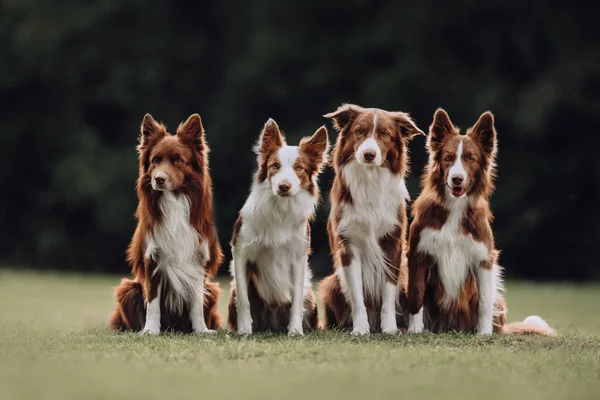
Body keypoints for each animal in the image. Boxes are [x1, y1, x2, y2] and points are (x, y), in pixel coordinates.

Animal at [108, 113, 223, 334]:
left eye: (178, 160)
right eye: (155, 160)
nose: (158, 179)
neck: (174, 200)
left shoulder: (198, 258)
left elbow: (196, 302)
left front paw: (201, 330)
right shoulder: (152, 258)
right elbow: (152, 302)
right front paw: (150, 331)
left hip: (212, 289)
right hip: (127, 288)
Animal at [226, 118, 328, 334]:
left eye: (299, 168)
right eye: (275, 166)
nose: (284, 186)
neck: (280, 209)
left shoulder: (299, 257)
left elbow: (296, 300)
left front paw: (295, 331)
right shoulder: (240, 251)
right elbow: (244, 300)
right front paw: (244, 330)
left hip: (309, 292)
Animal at [316, 103, 424, 334]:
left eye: (385, 134)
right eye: (359, 131)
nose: (368, 154)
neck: (369, 179)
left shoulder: (392, 243)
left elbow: (388, 293)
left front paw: (390, 328)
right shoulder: (348, 245)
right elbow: (357, 296)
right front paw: (360, 329)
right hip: (331, 283)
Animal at [406, 108, 556, 334]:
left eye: (470, 158)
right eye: (448, 158)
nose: (457, 179)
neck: (455, 208)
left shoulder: (484, 259)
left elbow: (484, 304)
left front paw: (484, 334)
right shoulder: (419, 254)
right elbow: (417, 296)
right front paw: (414, 331)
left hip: (498, 298)